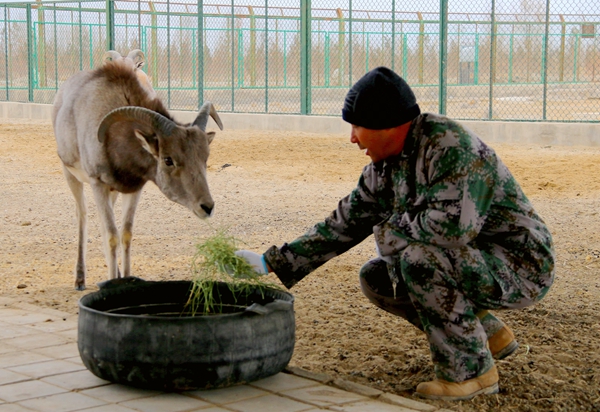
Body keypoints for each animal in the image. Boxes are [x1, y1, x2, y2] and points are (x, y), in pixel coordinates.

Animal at [52, 53, 223, 290]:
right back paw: (80, 279)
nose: (207, 207)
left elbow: (125, 233)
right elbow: (111, 235)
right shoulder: (98, 183)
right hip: (71, 175)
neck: (114, 136)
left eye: (204, 158)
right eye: (168, 160)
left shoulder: (133, 190)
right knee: (82, 216)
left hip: (112, 192)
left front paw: (123, 278)